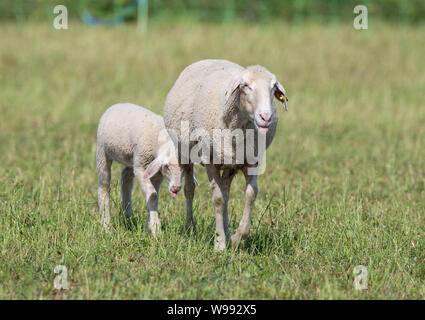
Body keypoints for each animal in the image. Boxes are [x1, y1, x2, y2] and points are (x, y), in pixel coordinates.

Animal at [97, 102, 183, 235]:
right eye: (167, 166)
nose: (176, 188)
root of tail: (118, 104)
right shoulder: (141, 167)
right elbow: (153, 196)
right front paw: (156, 231)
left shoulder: (156, 173)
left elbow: (153, 196)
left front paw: (149, 228)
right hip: (103, 152)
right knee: (104, 188)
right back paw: (106, 227)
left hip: (131, 158)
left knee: (125, 176)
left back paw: (127, 217)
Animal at [163, 59, 288, 250]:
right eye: (245, 86)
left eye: (274, 88)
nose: (266, 117)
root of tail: (206, 59)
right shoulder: (210, 160)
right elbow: (218, 199)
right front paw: (220, 243)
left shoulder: (252, 160)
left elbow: (250, 195)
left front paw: (236, 239)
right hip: (185, 152)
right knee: (190, 189)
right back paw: (190, 229)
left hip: (230, 164)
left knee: (226, 191)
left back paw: (227, 233)